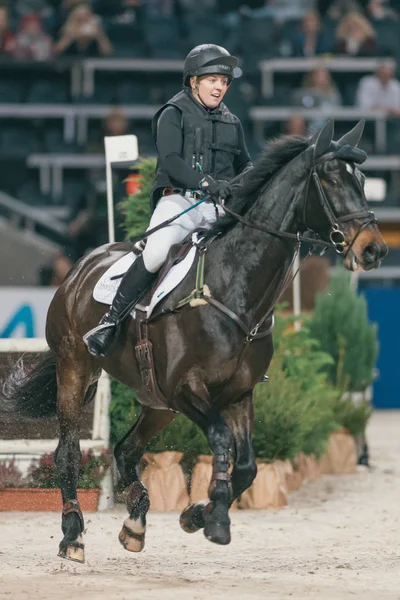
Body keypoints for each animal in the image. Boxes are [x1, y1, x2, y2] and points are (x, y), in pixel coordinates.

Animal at [0, 118, 388, 564]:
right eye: (330, 178)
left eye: (363, 180)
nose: (374, 250)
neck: (235, 287)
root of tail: (81, 266)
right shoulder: (188, 389)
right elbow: (220, 440)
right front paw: (215, 520)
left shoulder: (238, 394)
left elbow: (248, 466)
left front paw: (197, 514)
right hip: (77, 370)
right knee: (67, 453)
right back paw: (72, 535)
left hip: (157, 401)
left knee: (126, 451)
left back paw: (135, 524)